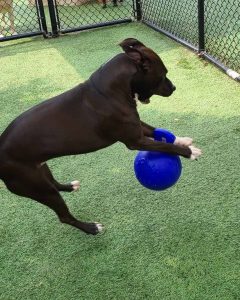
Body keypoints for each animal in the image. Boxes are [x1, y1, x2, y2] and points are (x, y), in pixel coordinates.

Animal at [0, 38, 202, 234]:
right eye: (163, 74)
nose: (174, 87)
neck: (109, 90)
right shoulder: (135, 140)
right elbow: (165, 146)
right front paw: (189, 151)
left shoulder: (136, 127)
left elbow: (156, 130)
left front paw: (183, 140)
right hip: (36, 186)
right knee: (64, 216)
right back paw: (91, 228)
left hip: (40, 171)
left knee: (54, 184)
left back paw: (70, 186)